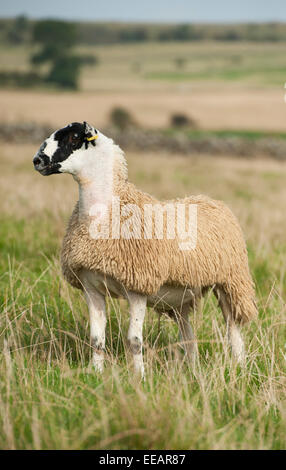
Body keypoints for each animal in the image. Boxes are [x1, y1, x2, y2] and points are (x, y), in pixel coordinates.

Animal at [33, 122, 256, 378]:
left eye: (73, 137)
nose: (37, 160)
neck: (109, 210)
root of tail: (211, 200)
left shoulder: (137, 286)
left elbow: (134, 340)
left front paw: (139, 377)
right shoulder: (91, 287)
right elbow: (96, 338)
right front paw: (95, 373)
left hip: (230, 281)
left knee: (232, 328)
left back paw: (240, 367)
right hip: (182, 296)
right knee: (188, 335)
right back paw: (192, 370)